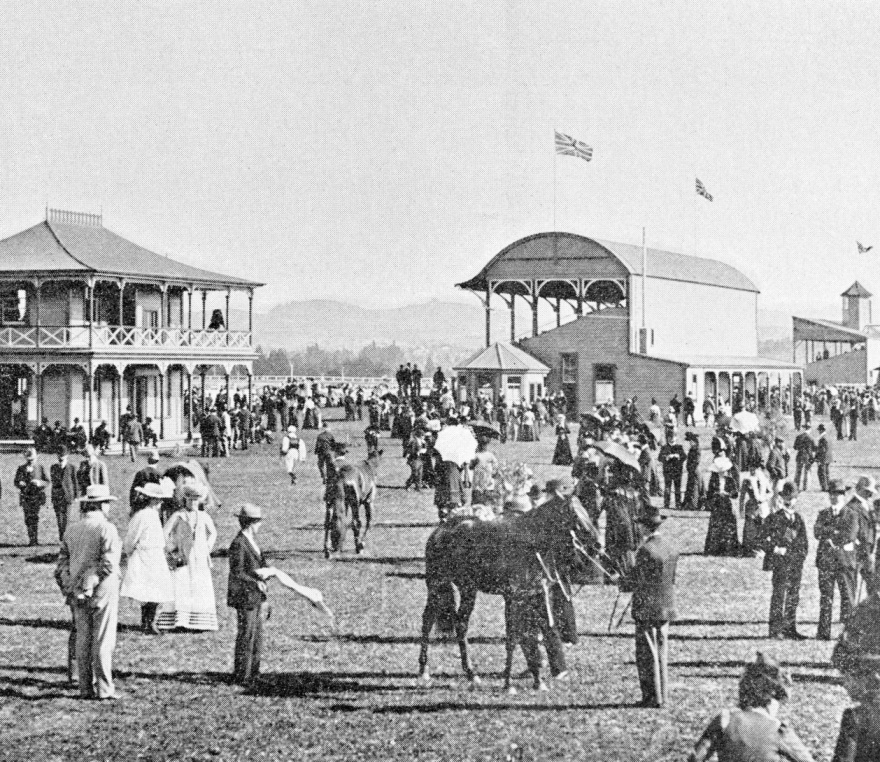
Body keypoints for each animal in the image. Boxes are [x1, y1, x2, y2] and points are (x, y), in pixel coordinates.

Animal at [418, 496, 600, 692]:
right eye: (576, 515)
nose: (598, 544)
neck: (530, 543)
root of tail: (439, 530)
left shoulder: (533, 596)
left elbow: (529, 636)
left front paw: (536, 680)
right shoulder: (513, 597)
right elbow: (514, 637)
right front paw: (509, 683)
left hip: (468, 589)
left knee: (461, 624)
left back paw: (471, 674)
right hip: (437, 584)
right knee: (428, 620)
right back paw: (424, 670)